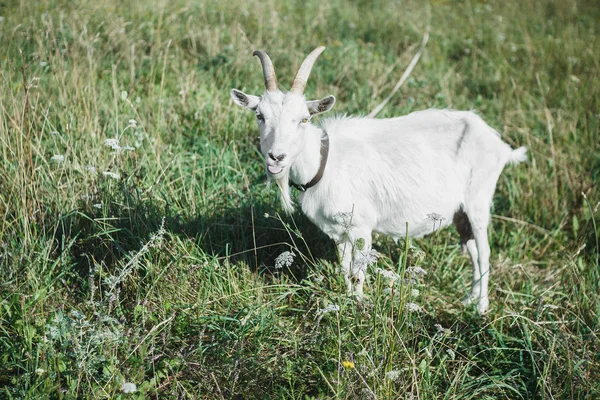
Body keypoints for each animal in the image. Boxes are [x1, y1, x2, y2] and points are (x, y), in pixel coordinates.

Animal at [230, 45, 524, 310]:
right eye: (260, 115)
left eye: (303, 119)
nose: (276, 157)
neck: (324, 162)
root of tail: (499, 144)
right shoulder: (338, 231)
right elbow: (344, 268)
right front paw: (347, 301)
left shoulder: (361, 227)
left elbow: (357, 272)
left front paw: (359, 306)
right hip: (460, 211)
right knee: (472, 248)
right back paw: (468, 298)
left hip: (478, 199)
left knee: (484, 252)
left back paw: (481, 307)